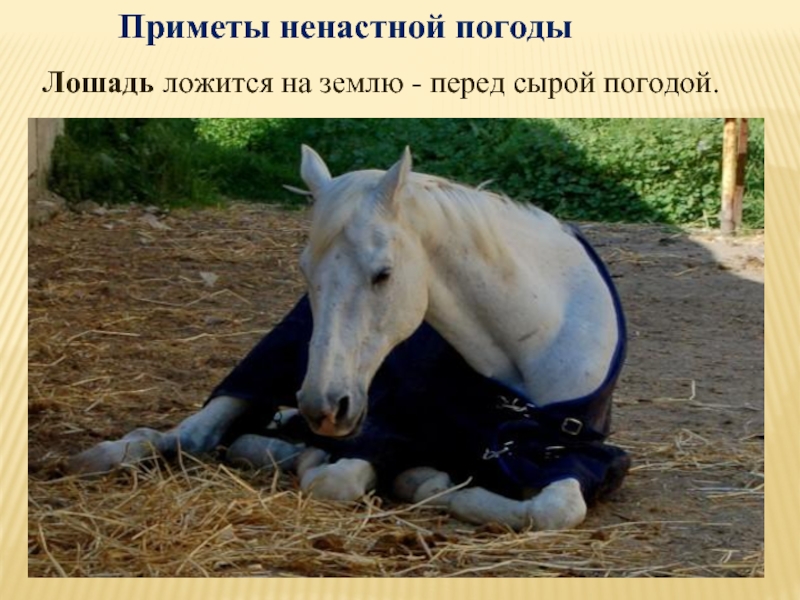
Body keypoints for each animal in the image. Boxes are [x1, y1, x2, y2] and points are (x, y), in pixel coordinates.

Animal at [67, 146, 629, 531]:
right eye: (305, 272)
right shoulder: (385, 427)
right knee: (196, 433)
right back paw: (110, 454)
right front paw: (419, 479)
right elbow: (337, 479)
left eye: (383, 274)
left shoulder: (572, 454)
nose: (323, 406)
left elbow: (555, 509)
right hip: (269, 369)